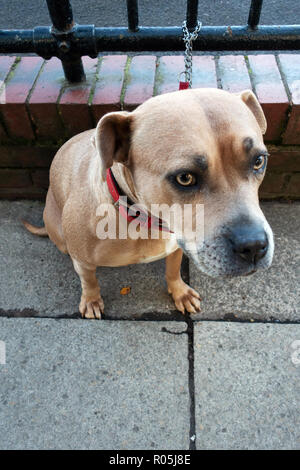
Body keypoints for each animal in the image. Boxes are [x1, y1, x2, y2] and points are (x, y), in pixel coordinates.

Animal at [24, 87, 274, 320]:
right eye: (185, 178)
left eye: (258, 161)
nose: (254, 246)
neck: (144, 219)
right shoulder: (83, 260)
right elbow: (89, 280)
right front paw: (92, 300)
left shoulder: (176, 246)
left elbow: (173, 270)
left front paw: (180, 292)